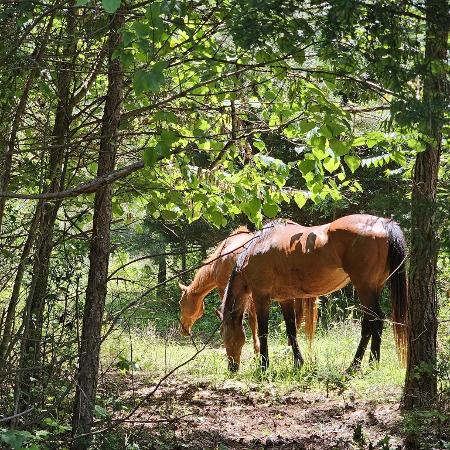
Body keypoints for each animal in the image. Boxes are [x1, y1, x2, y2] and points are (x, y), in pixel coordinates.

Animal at [178, 227, 318, 360]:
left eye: (181, 303)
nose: (183, 329)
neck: (216, 265)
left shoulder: (227, 290)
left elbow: (250, 319)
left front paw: (256, 352)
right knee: (301, 316)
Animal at [220, 214, 410, 372]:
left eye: (225, 336)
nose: (232, 368)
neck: (258, 247)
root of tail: (383, 223)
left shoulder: (261, 297)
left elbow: (263, 332)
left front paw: (264, 366)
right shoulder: (285, 299)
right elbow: (291, 331)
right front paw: (298, 363)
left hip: (365, 287)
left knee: (376, 321)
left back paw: (369, 364)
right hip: (373, 288)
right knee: (368, 324)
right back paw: (356, 365)